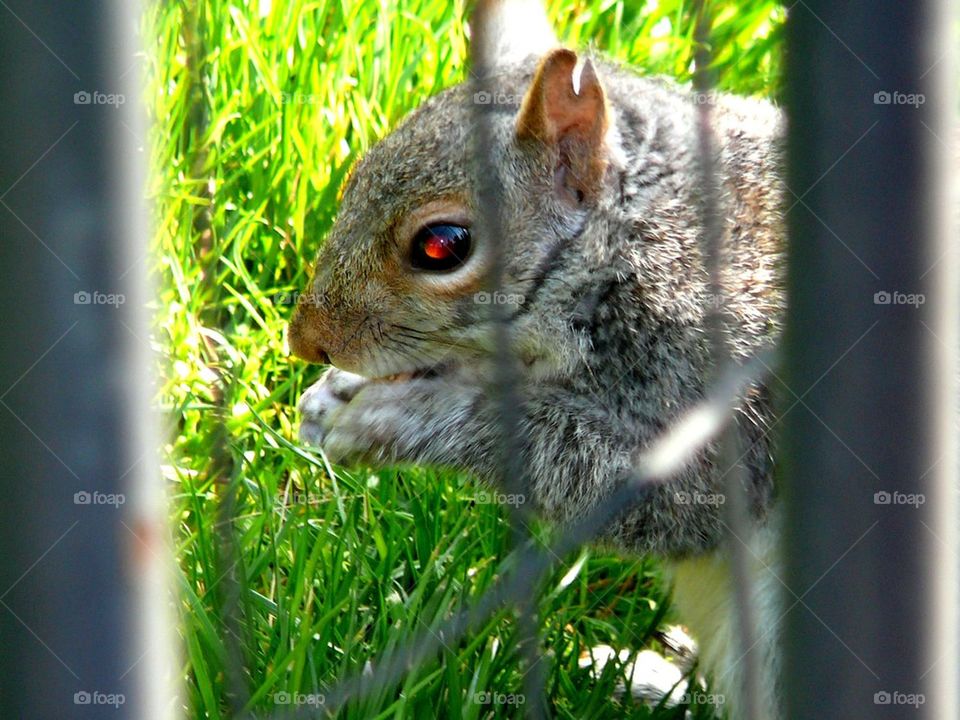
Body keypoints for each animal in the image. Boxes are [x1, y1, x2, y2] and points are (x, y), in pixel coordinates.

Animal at [290, 2, 788, 716]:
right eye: (355, 175)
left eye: (442, 245)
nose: (305, 341)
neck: (643, 242)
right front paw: (332, 395)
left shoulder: (729, 386)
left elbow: (675, 500)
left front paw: (399, 418)